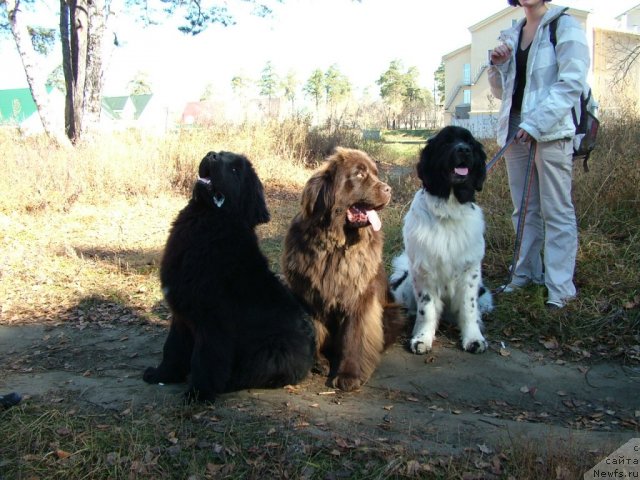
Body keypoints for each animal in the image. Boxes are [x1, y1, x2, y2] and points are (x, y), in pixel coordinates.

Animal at [144, 150, 316, 402]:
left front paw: (198, 394)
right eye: (222, 154)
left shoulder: (214, 322)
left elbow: (205, 360)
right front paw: (161, 375)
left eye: (235, 170)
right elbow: (172, 349)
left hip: (273, 350)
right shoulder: (181, 315)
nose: (211, 155)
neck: (207, 220)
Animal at [282, 148, 402, 392]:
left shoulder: (360, 297)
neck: (335, 245)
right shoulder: (307, 294)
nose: (388, 189)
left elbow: (353, 336)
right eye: (359, 174)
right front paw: (317, 361)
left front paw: (349, 374)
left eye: (375, 174)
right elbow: (315, 330)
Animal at [390, 125, 490, 354]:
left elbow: (469, 308)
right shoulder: (424, 270)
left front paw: (473, 338)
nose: (463, 150)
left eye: (469, 143)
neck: (449, 209)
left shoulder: (470, 271)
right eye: (446, 142)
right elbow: (427, 310)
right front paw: (422, 338)